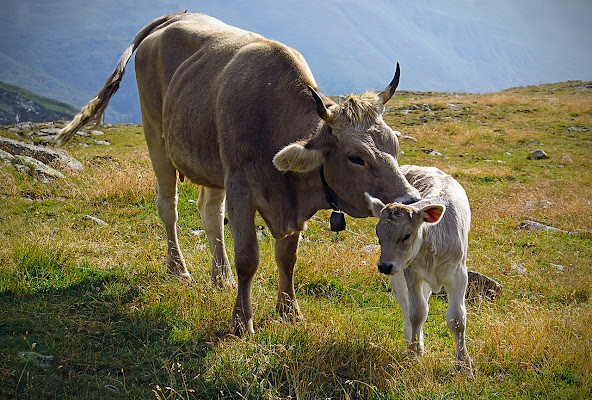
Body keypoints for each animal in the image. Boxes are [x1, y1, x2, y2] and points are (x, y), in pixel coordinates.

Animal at [56, 11, 420, 334]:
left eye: (394, 145)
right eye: (355, 158)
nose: (411, 201)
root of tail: (172, 17)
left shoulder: (283, 205)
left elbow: (287, 259)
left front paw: (290, 313)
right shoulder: (241, 187)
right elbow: (248, 259)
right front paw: (241, 322)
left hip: (212, 163)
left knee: (210, 214)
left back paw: (221, 277)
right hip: (156, 133)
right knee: (168, 207)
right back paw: (179, 270)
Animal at [364, 165, 474, 376]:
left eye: (407, 235)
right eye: (378, 234)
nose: (384, 266)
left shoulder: (458, 274)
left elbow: (457, 319)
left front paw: (464, 365)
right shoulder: (410, 272)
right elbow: (416, 313)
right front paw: (415, 355)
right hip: (399, 277)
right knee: (407, 307)